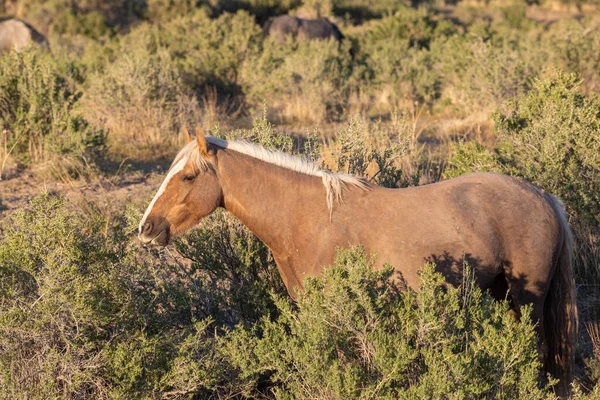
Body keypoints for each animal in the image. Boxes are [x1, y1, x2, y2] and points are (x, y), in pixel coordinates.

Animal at [139, 127, 576, 394]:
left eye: (188, 177)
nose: (146, 228)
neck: (308, 218)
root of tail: (544, 197)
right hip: (504, 294)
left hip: (527, 297)